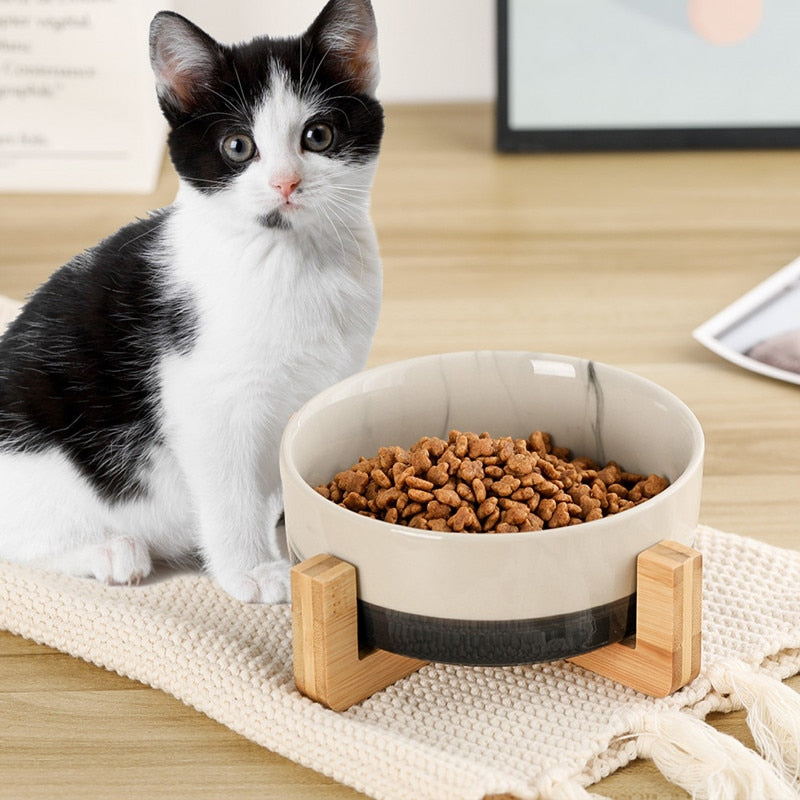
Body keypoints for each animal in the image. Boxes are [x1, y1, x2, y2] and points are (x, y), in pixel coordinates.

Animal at [0, 0, 384, 600]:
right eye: (238, 146)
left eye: (318, 135)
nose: (285, 183)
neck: (289, 260)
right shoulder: (207, 399)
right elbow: (228, 490)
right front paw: (248, 568)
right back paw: (110, 551)